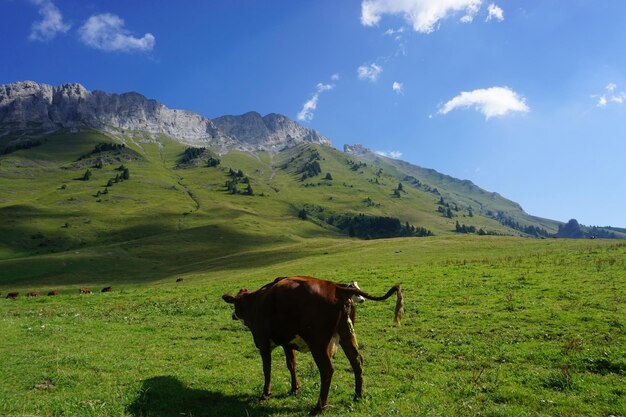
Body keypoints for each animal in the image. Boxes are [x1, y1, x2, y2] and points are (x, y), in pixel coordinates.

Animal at [222, 274, 402, 414]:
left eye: (235, 304)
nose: (232, 315)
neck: (256, 301)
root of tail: (336, 288)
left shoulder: (263, 342)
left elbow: (267, 369)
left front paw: (266, 393)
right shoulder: (287, 342)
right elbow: (291, 365)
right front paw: (294, 389)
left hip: (319, 345)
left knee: (327, 370)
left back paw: (319, 406)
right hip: (346, 336)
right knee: (357, 362)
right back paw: (358, 395)